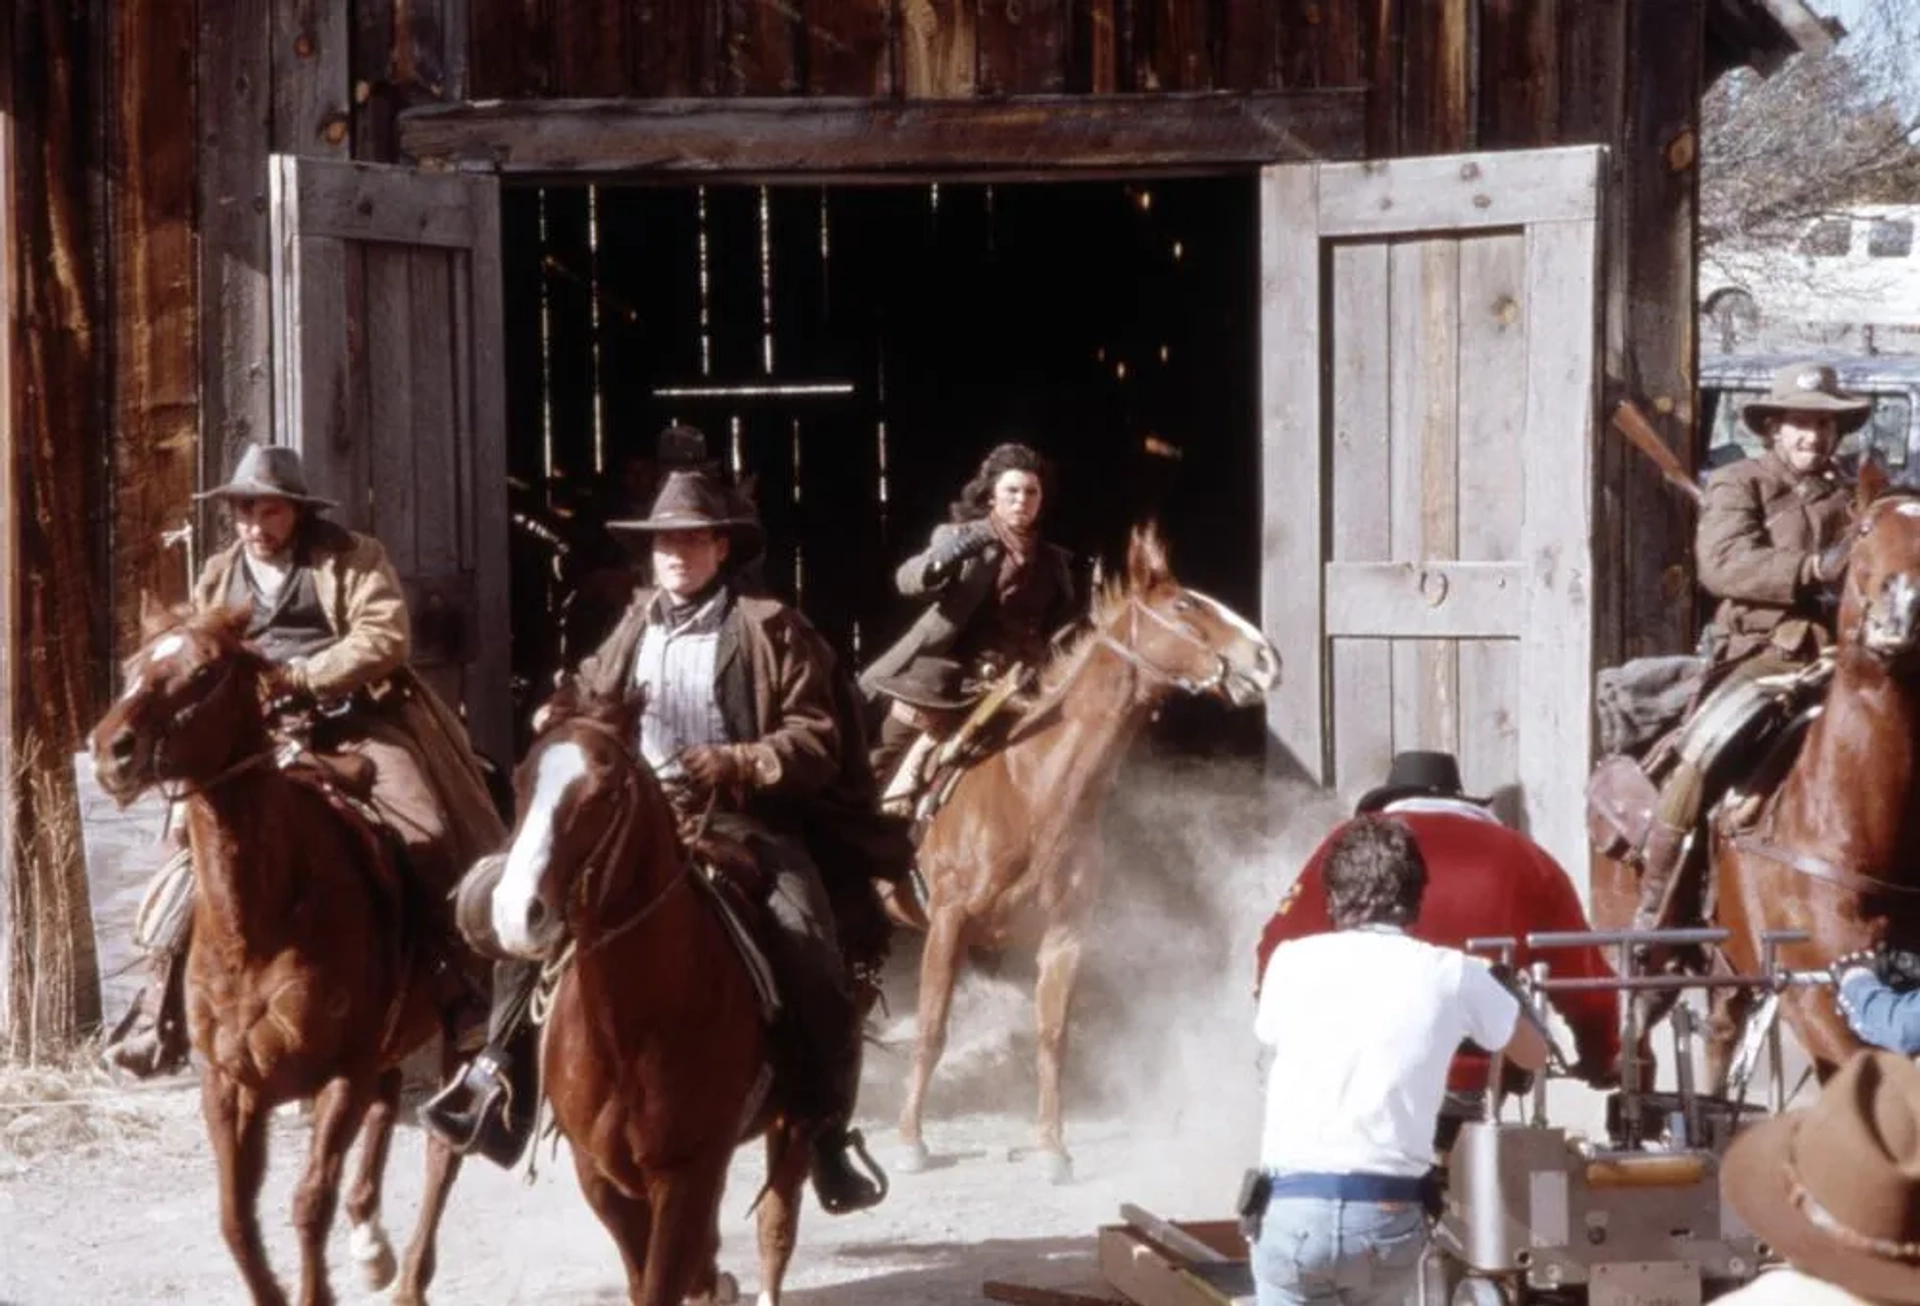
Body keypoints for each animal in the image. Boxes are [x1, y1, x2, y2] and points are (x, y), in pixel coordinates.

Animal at [88, 599, 478, 1306]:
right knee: (388, 1102)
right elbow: (236, 1220)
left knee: (443, 1152)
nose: (112, 750)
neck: (259, 926)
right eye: (133, 665)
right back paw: (372, 1246)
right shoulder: (229, 1083)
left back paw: (408, 1279)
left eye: (204, 671)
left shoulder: (339, 1077)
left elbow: (308, 1202)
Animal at [478, 687, 817, 1298]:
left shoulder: (685, 1174)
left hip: (792, 1123)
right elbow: (648, 1278)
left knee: (777, 1226)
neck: (627, 1034)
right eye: (519, 781)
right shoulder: (600, 1177)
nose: (517, 914)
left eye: (605, 792)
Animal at [890, 522, 1282, 1183]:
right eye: (1184, 605)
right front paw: (911, 1141)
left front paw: (1052, 1146)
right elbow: (932, 1029)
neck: (1033, 784)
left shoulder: (1066, 933)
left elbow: (1053, 1037)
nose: (1267, 660)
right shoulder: (948, 920)